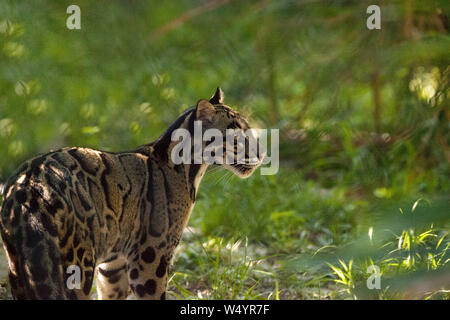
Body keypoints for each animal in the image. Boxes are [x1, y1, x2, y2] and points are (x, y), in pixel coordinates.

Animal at [0, 88, 264, 300]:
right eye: (237, 136)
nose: (262, 154)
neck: (188, 169)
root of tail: (27, 185)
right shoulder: (151, 256)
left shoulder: (113, 266)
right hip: (76, 264)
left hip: (21, 266)